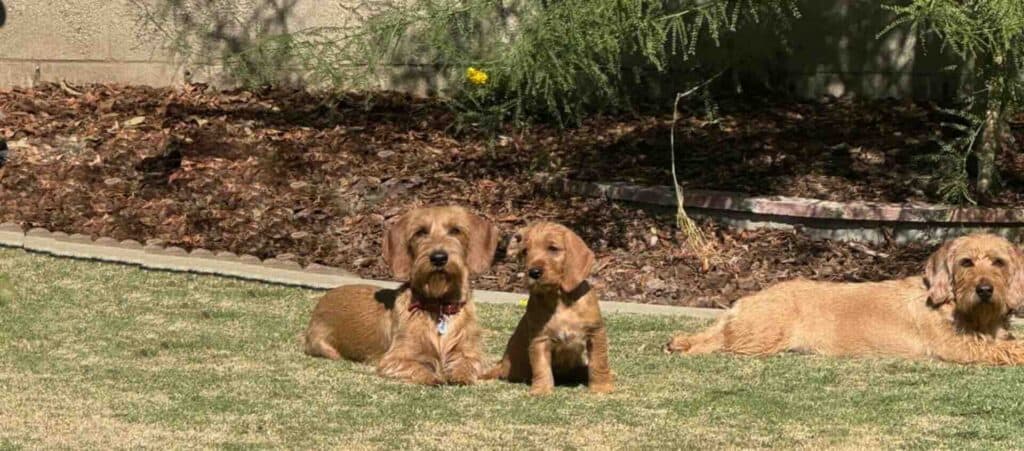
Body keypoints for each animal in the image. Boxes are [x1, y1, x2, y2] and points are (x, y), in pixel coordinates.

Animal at [301, 203, 497, 383]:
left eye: (455, 230)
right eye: (420, 232)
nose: (438, 257)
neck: (438, 307)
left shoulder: (471, 352)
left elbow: (469, 363)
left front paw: (460, 374)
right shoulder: (394, 359)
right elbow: (418, 367)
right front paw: (434, 376)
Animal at [483, 222, 610, 393]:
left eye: (553, 248)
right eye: (525, 251)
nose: (533, 272)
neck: (560, 299)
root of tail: (501, 364)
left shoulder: (596, 333)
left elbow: (599, 361)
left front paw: (602, 388)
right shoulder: (540, 338)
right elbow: (541, 366)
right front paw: (541, 390)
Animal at [663, 234, 1024, 364]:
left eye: (998, 262)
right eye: (966, 262)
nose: (985, 290)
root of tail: (743, 302)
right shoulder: (958, 346)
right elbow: (1008, 348)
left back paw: (679, 341)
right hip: (762, 338)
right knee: (720, 345)